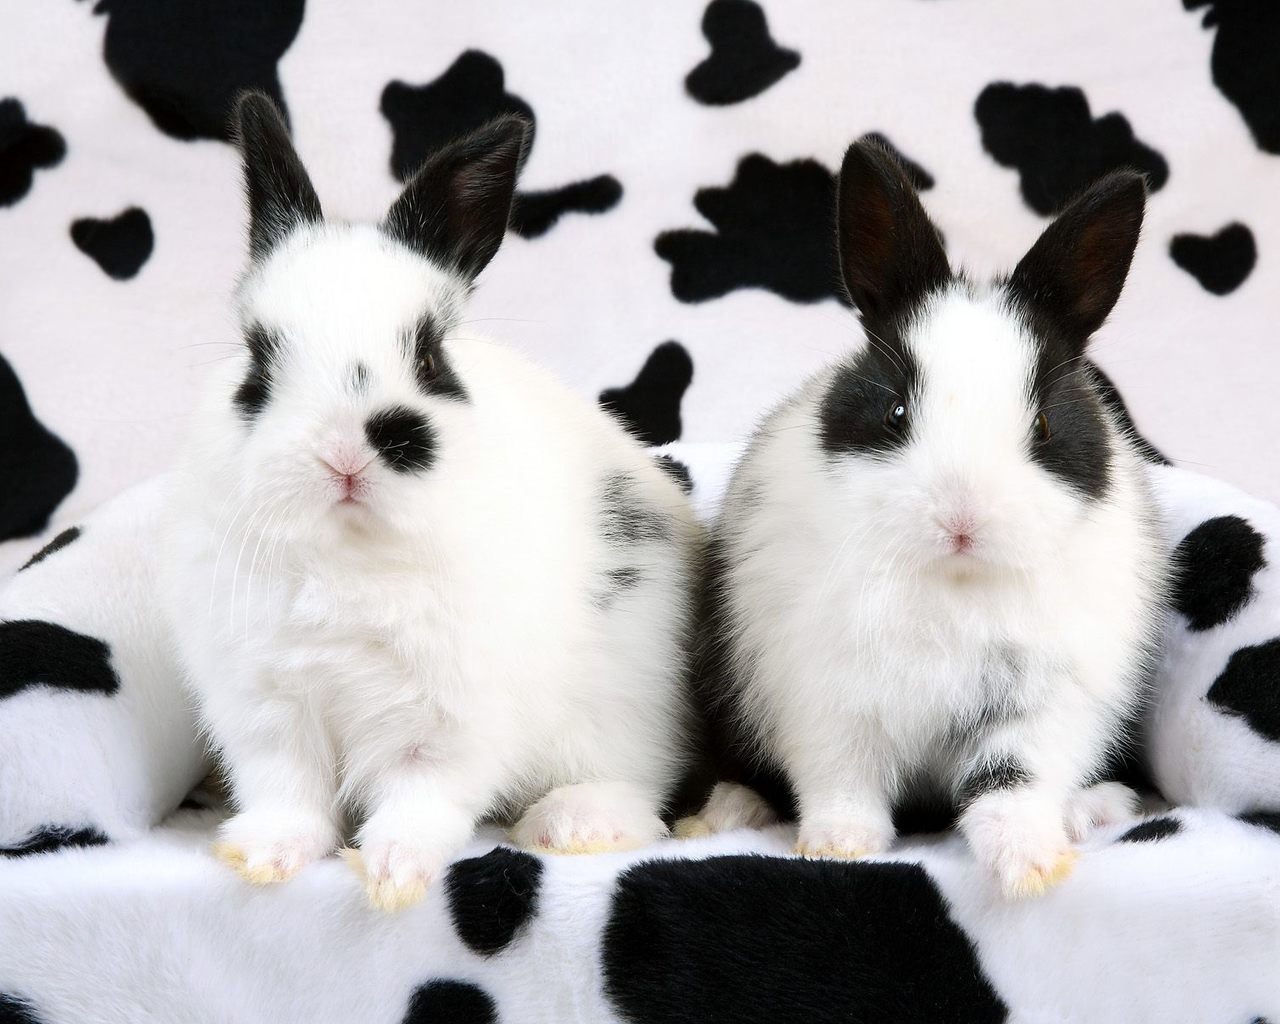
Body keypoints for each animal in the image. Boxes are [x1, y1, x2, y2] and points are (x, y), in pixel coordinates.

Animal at [160, 93, 702, 911]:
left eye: (430, 356)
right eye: (258, 360)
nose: (347, 451)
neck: (349, 556)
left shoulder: (447, 717)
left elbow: (422, 793)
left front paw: (393, 872)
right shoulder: (268, 708)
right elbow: (289, 790)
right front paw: (264, 856)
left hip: (625, 704)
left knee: (638, 788)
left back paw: (574, 825)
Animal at [684, 137, 1168, 898]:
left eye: (1043, 426)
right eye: (894, 412)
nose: (962, 519)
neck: (953, 580)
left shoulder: (1039, 705)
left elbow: (1014, 783)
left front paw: (1032, 865)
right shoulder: (827, 698)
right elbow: (843, 781)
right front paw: (838, 846)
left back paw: (1096, 808)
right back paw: (730, 809)